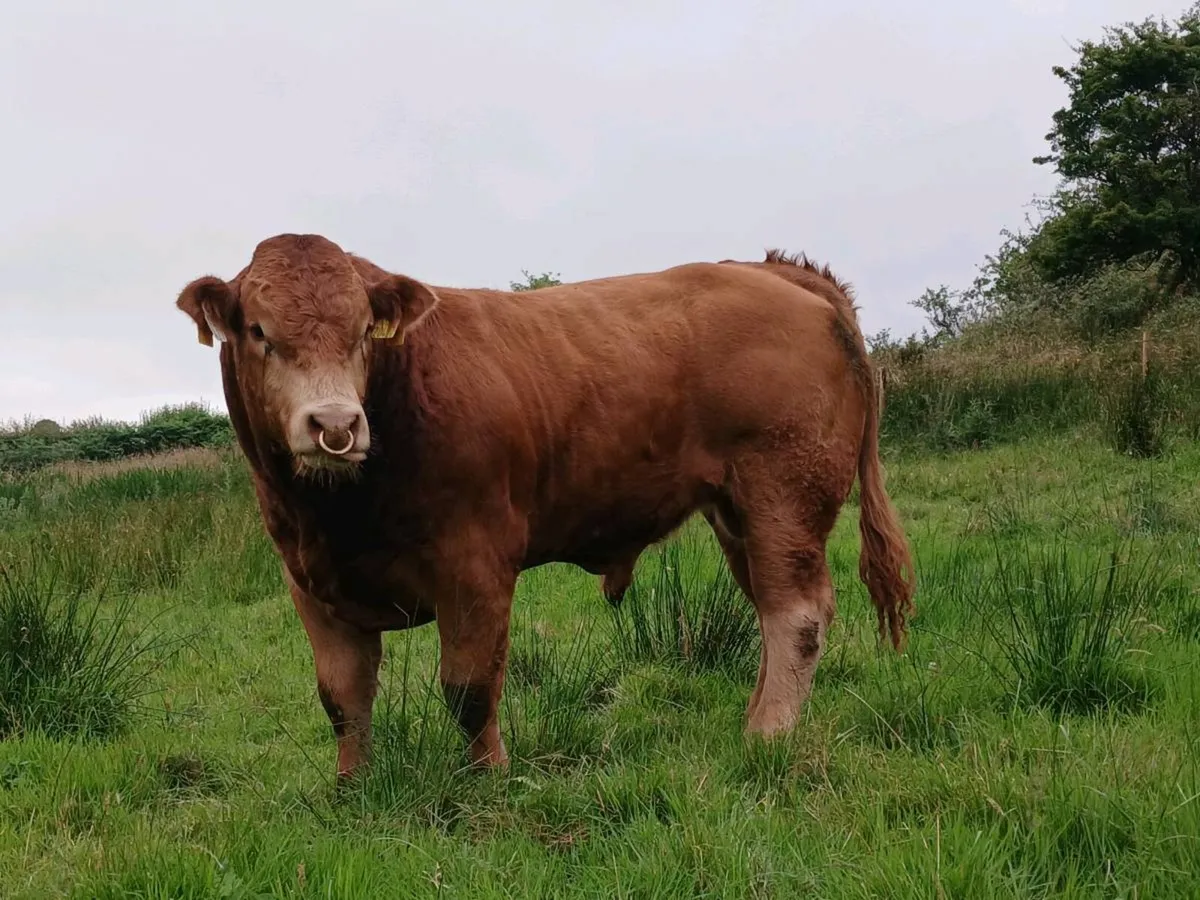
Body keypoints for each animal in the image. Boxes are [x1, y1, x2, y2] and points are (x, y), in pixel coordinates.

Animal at [174, 233, 915, 783]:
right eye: (259, 331)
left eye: (363, 332)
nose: (335, 424)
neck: (340, 515)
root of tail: (777, 272)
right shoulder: (310, 582)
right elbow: (343, 698)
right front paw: (352, 787)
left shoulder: (475, 564)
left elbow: (469, 687)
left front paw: (489, 782)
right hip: (739, 512)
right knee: (770, 608)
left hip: (783, 492)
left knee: (799, 615)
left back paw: (766, 735)